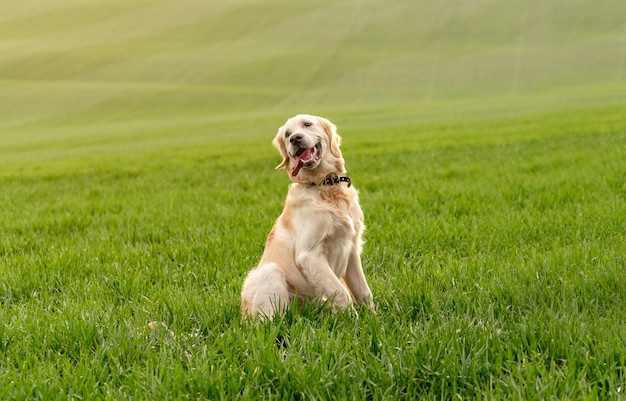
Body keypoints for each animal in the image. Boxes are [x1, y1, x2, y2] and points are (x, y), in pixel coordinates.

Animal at [240, 115, 372, 318]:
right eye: (287, 134)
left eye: (307, 124)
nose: (295, 139)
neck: (324, 184)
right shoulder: (309, 254)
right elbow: (342, 292)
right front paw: (354, 321)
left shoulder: (351, 249)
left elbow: (363, 291)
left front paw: (374, 318)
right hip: (270, 272)